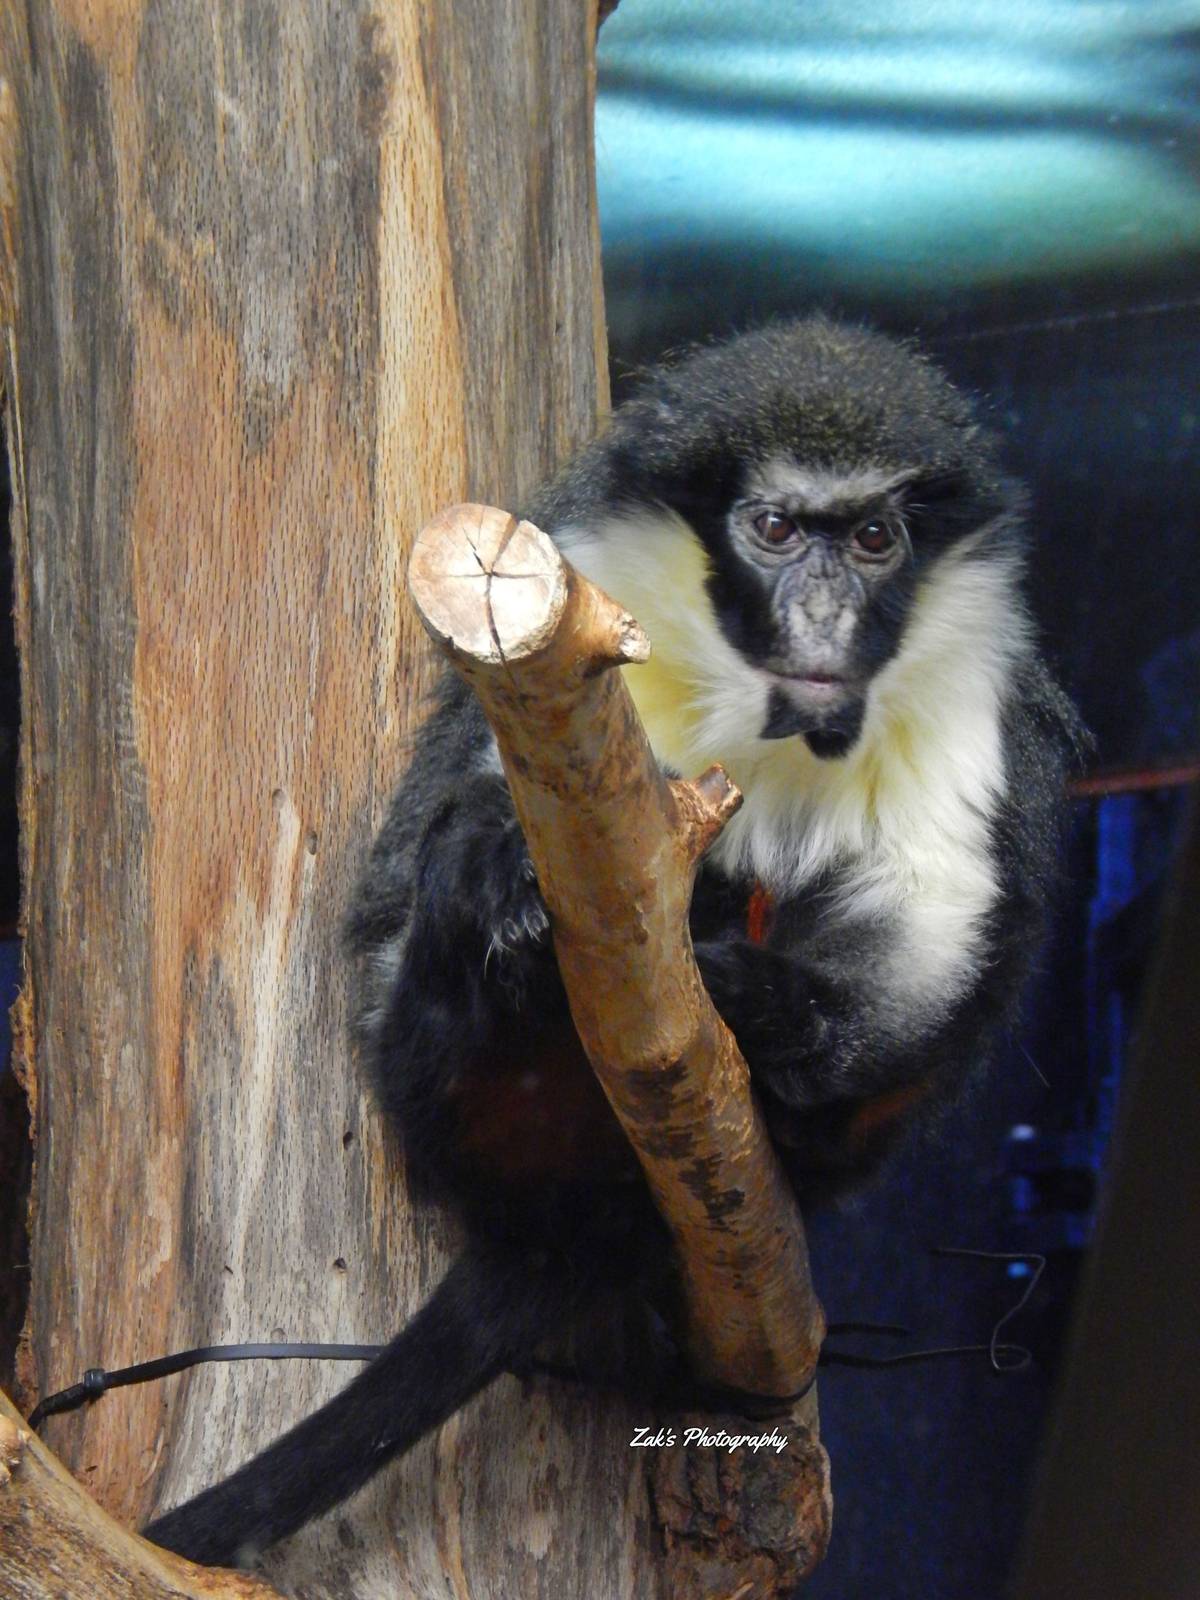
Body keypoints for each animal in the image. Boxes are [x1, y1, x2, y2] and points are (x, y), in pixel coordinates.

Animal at [144, 317, 1079, 1566]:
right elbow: (414, 869)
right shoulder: (585, 588)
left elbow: (939, 906)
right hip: (440, 1084)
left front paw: (772, 1005)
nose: (826, 614)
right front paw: (498, 887)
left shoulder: (978, 684)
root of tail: (564, 1215)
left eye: (875, 540)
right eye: (777, 531)